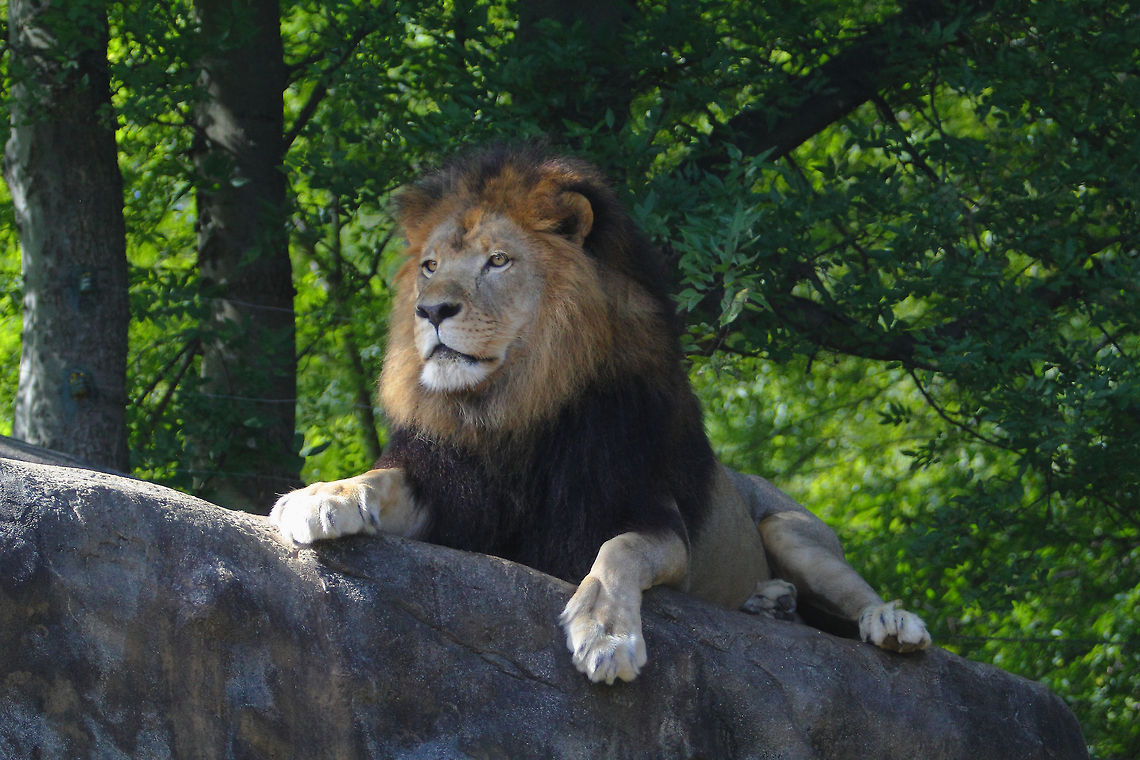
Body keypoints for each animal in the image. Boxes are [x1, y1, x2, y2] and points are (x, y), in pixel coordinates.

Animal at [269, 145, 930, 684]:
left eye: (498, 261)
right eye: (430, 266)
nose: (430, 310)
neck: (514, 408)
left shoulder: (652, 518)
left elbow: (618, 551)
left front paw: (608, 636)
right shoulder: (455, 497)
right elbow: (380, 478)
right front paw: (321, 496)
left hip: (791, 529)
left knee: (857, 597)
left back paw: (890, 624)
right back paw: (772, 602)